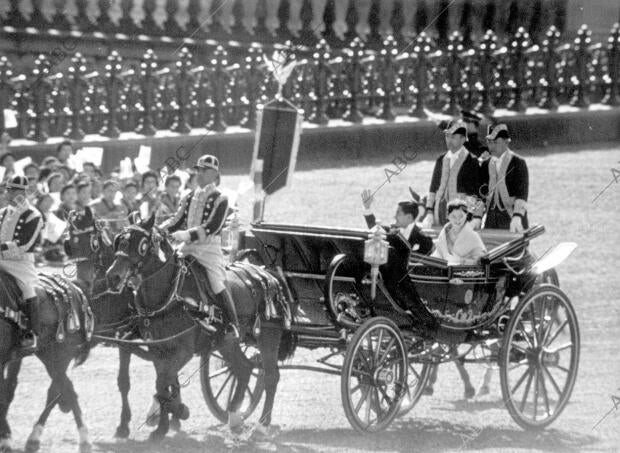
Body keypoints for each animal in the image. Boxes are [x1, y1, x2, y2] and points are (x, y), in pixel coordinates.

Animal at [63, 207, 185, 438]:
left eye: (93, 242)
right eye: (69, 244)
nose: (83, 281)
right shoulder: (122, 339)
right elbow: (124, 382)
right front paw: (124, 424)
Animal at [106, 214, 296, 440]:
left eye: (141, 244)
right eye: (119, 241)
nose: (113, 276)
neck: (170, 293)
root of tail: (270, 275)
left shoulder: (183, 351)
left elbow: (162, 383)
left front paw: (172, 416)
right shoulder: (157, 347)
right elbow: (151, 381)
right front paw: (153, 422)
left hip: (268, 338)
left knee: (270, 377)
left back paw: (262, 425)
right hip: (227, 343)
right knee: (244, 368)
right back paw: (234, 418)